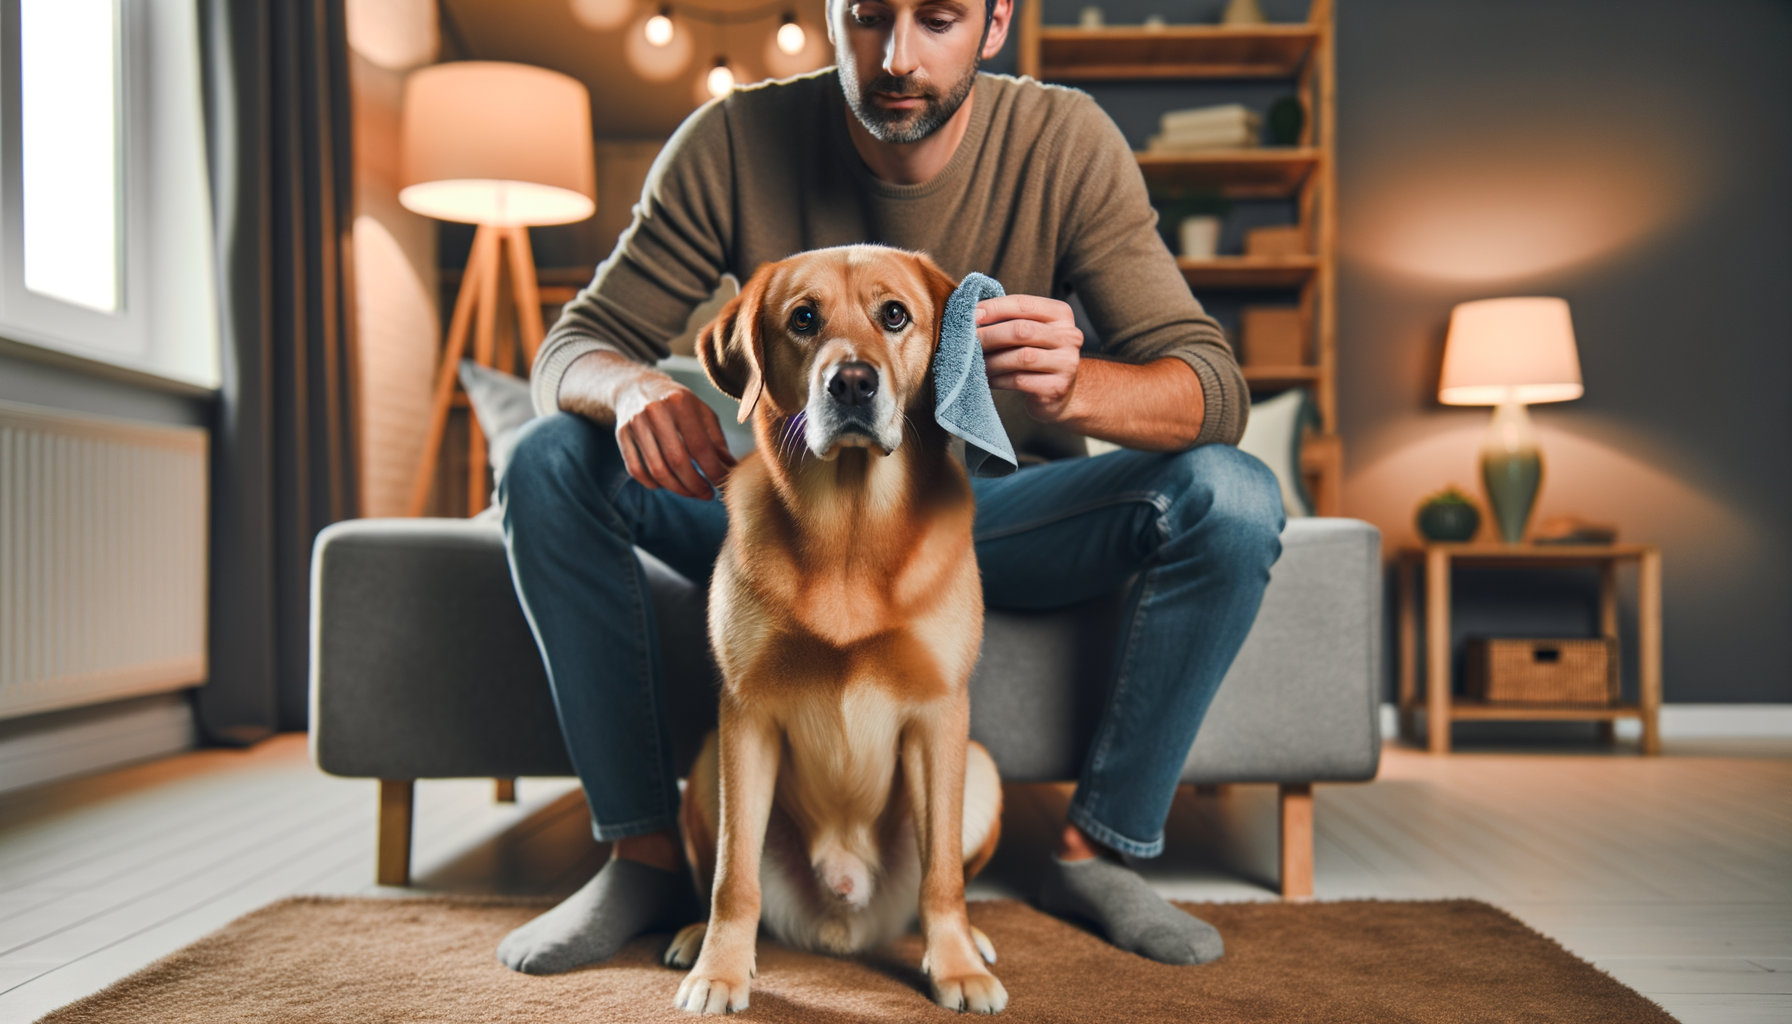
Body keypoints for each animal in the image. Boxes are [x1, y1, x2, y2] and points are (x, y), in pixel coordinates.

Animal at [666, 249, 1010, 1018]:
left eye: (895, 314)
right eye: (803, 318)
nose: (851, 381)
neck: (850, 531)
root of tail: (845, 915)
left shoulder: (940, 715)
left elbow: (943, 877)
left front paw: (954, 965)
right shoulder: (746, 715)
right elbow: (733, 876)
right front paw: (720, 970)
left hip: (981, 769)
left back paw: (973, 941)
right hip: (705, 764)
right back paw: (690, 935)